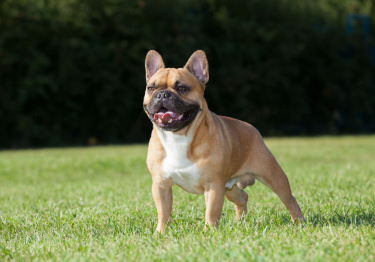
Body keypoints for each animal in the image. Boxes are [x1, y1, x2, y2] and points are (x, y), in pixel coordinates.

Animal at [142, 50, 304, 232]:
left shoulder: (213, 186)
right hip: (229, 187)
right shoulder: (161, 185)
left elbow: (212, 213)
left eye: (181, 88)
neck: (178, 136)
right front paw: (160, 233)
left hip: (273, 176)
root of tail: (252, 129)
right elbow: (163, 213)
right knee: (243, 197)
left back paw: (300, 223)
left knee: (289, 199)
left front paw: (209, 232)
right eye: (151, 88)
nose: (162, 94)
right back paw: (240, 222)